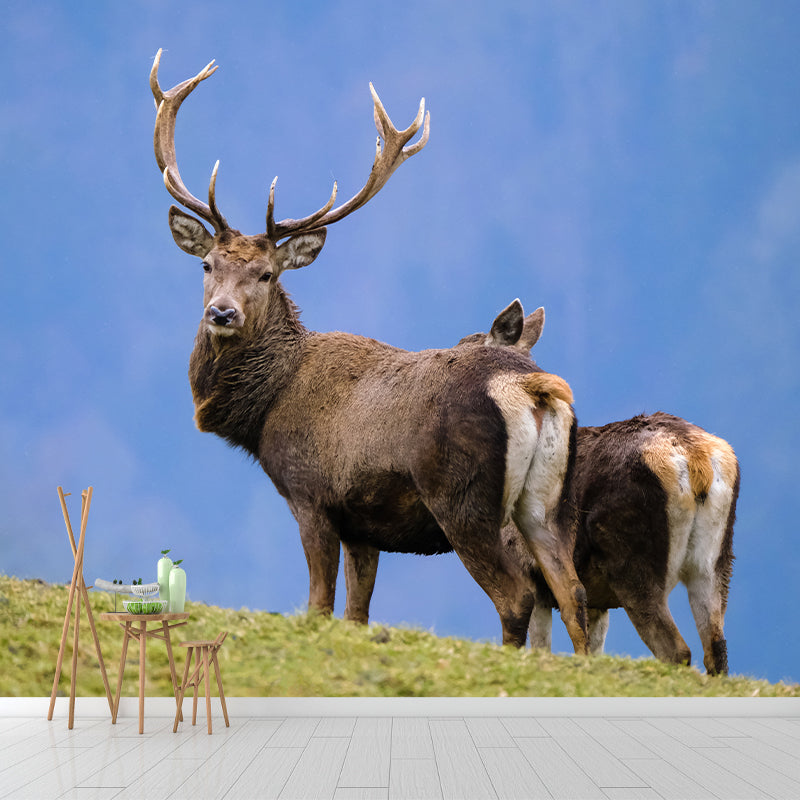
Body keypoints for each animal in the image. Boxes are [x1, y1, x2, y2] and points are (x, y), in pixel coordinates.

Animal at [149, 51, 590, 654]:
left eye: (266, 273)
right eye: (207, 264)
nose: (222, 313)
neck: (265, 411)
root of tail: (532, 387)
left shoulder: (312, 496)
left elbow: (319, 604)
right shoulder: (366, 525)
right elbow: (357, 613)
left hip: (463, 500)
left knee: (518, 594)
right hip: (546, 504)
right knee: (573, 592)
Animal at [459, 300, 739, 674]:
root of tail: (696, 459)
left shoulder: (531, 571)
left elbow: (542, 646)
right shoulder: (597, 601)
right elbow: (591, 647)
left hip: (633, 559)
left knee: (676, 648)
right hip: (717, 560)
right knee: (717, 648)